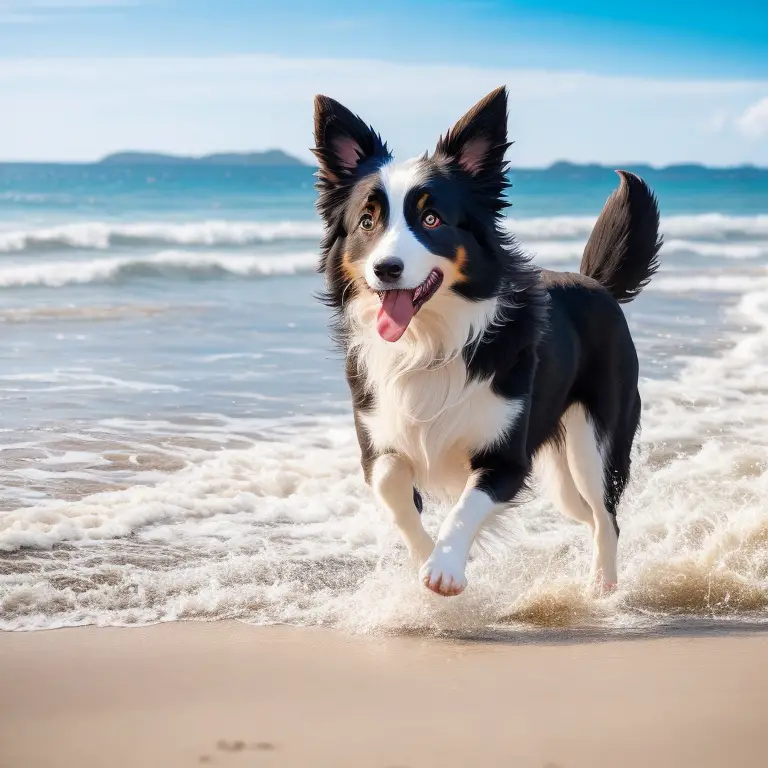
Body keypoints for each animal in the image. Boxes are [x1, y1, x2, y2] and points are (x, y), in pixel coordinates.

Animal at [310, 87, 660, 596]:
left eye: (431, 219)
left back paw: (602, 588)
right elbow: (392, 485)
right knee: (587, 515)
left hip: (595, 444)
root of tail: (596, 284)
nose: (386, 269)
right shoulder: (377, 440)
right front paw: (425, 556)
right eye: (367, 222)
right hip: (563, 480)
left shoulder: (507, 459)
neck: (429, 340)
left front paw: (445, 568)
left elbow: (469, 505)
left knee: (606, 515)